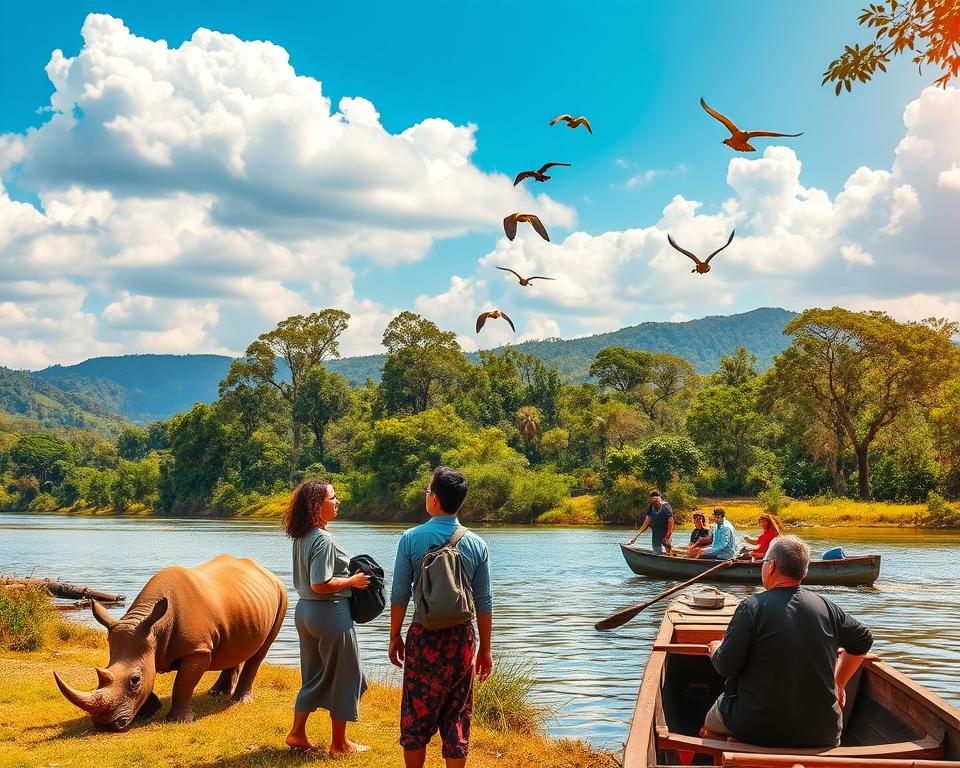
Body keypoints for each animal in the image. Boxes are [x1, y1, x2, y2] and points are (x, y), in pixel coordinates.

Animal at [54, 554, 288, 731]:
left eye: (134, 680)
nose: (105, 726)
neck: (155, 629)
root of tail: (267, 573)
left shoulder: (197, 650)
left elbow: (183, 684)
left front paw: (178, 720)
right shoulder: (148, 644)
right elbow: (153, 674)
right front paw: (149, 711)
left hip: (282, 595)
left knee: (261, 651)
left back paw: (237, 702)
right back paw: (216, 693)